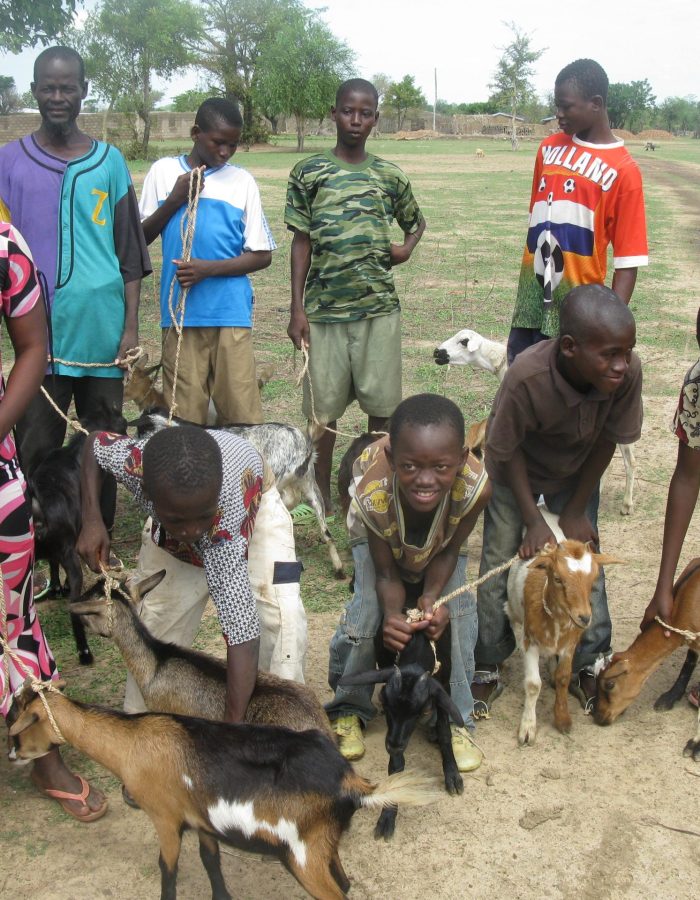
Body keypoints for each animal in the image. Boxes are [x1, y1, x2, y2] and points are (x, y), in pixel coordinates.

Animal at [504, 510, 624, 748]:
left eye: (593, 579)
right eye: (558, 579)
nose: (584, 617)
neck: (556, 621)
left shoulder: (570, 644)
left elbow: (563, 677)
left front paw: (562, 719)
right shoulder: (531, 641)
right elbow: (533, 684)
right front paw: (527, 729)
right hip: (513, 609)